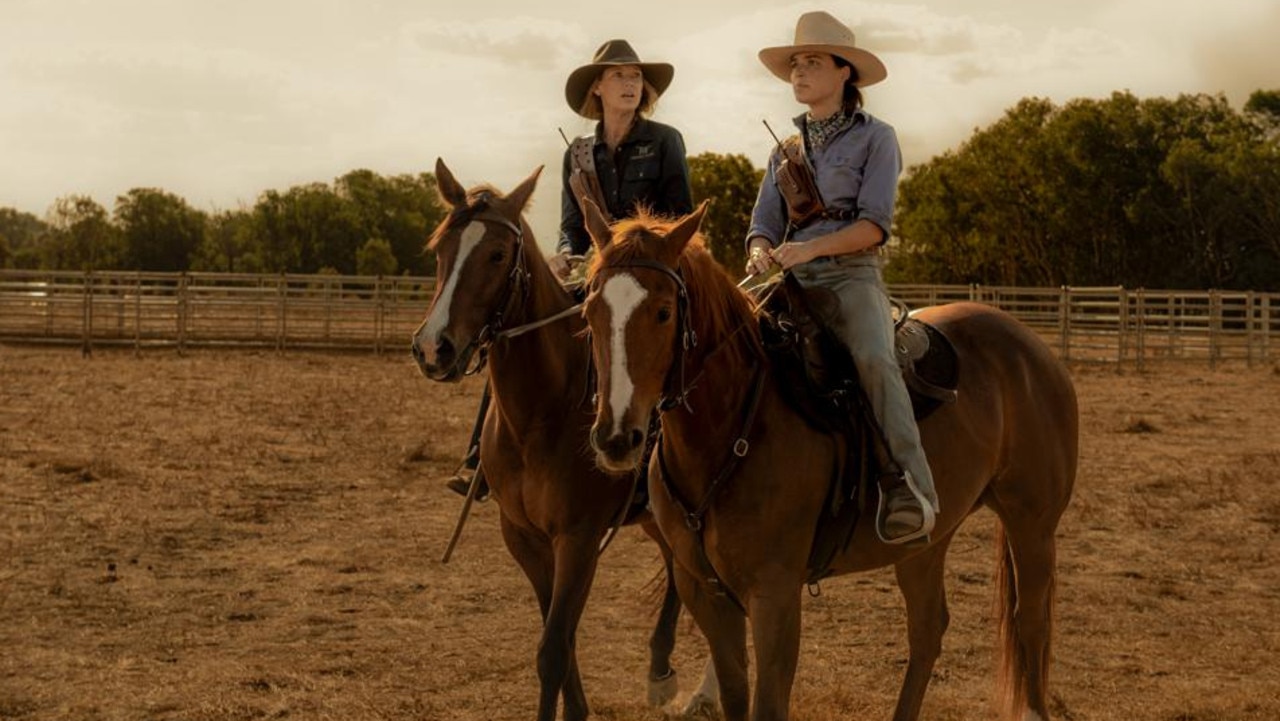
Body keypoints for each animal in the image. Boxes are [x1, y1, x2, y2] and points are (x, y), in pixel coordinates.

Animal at [409, 162, 691, 721]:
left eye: (498, 254)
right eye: (439, 249)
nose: (433, 348)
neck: (541, 415)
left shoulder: (578, 539)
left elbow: (553, 649)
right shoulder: (523, 537)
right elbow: (558, 635)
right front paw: (577, 709)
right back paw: (660, 667)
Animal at [581, 202, 1080, 721]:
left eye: (663, 312)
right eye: (590, 311)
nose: (616, 438)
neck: (734, 424)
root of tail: (1030, 346)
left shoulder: (775, 596)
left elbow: (767, 703)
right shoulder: (704, 589)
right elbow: (735, 693)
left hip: (1033, 524)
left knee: (1031, 623)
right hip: (926, 542)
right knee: (928, 629)